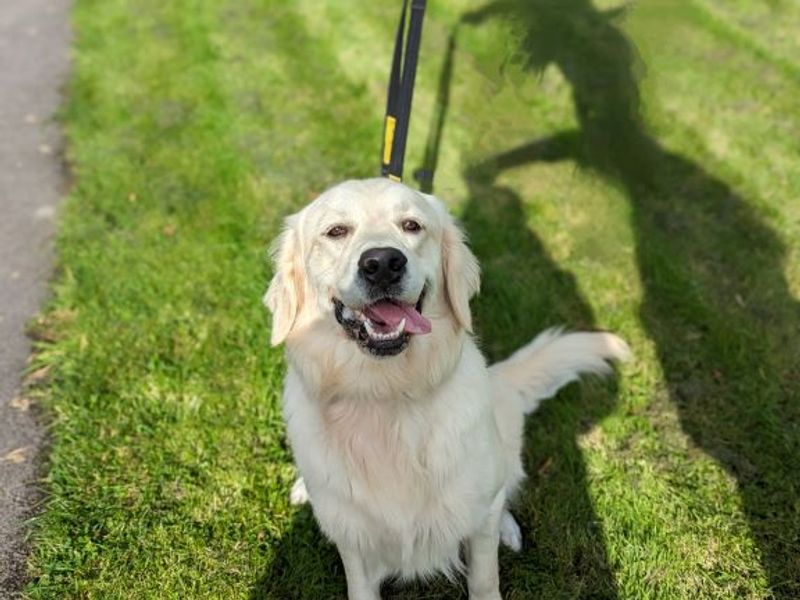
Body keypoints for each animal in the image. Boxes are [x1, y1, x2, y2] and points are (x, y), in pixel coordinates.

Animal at [266, 179, 628, 600]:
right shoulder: (354, 538)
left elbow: (485, 576)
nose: (383, 263)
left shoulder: (476, 516)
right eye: (336, 231)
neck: (386, 395)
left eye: (411, 225)